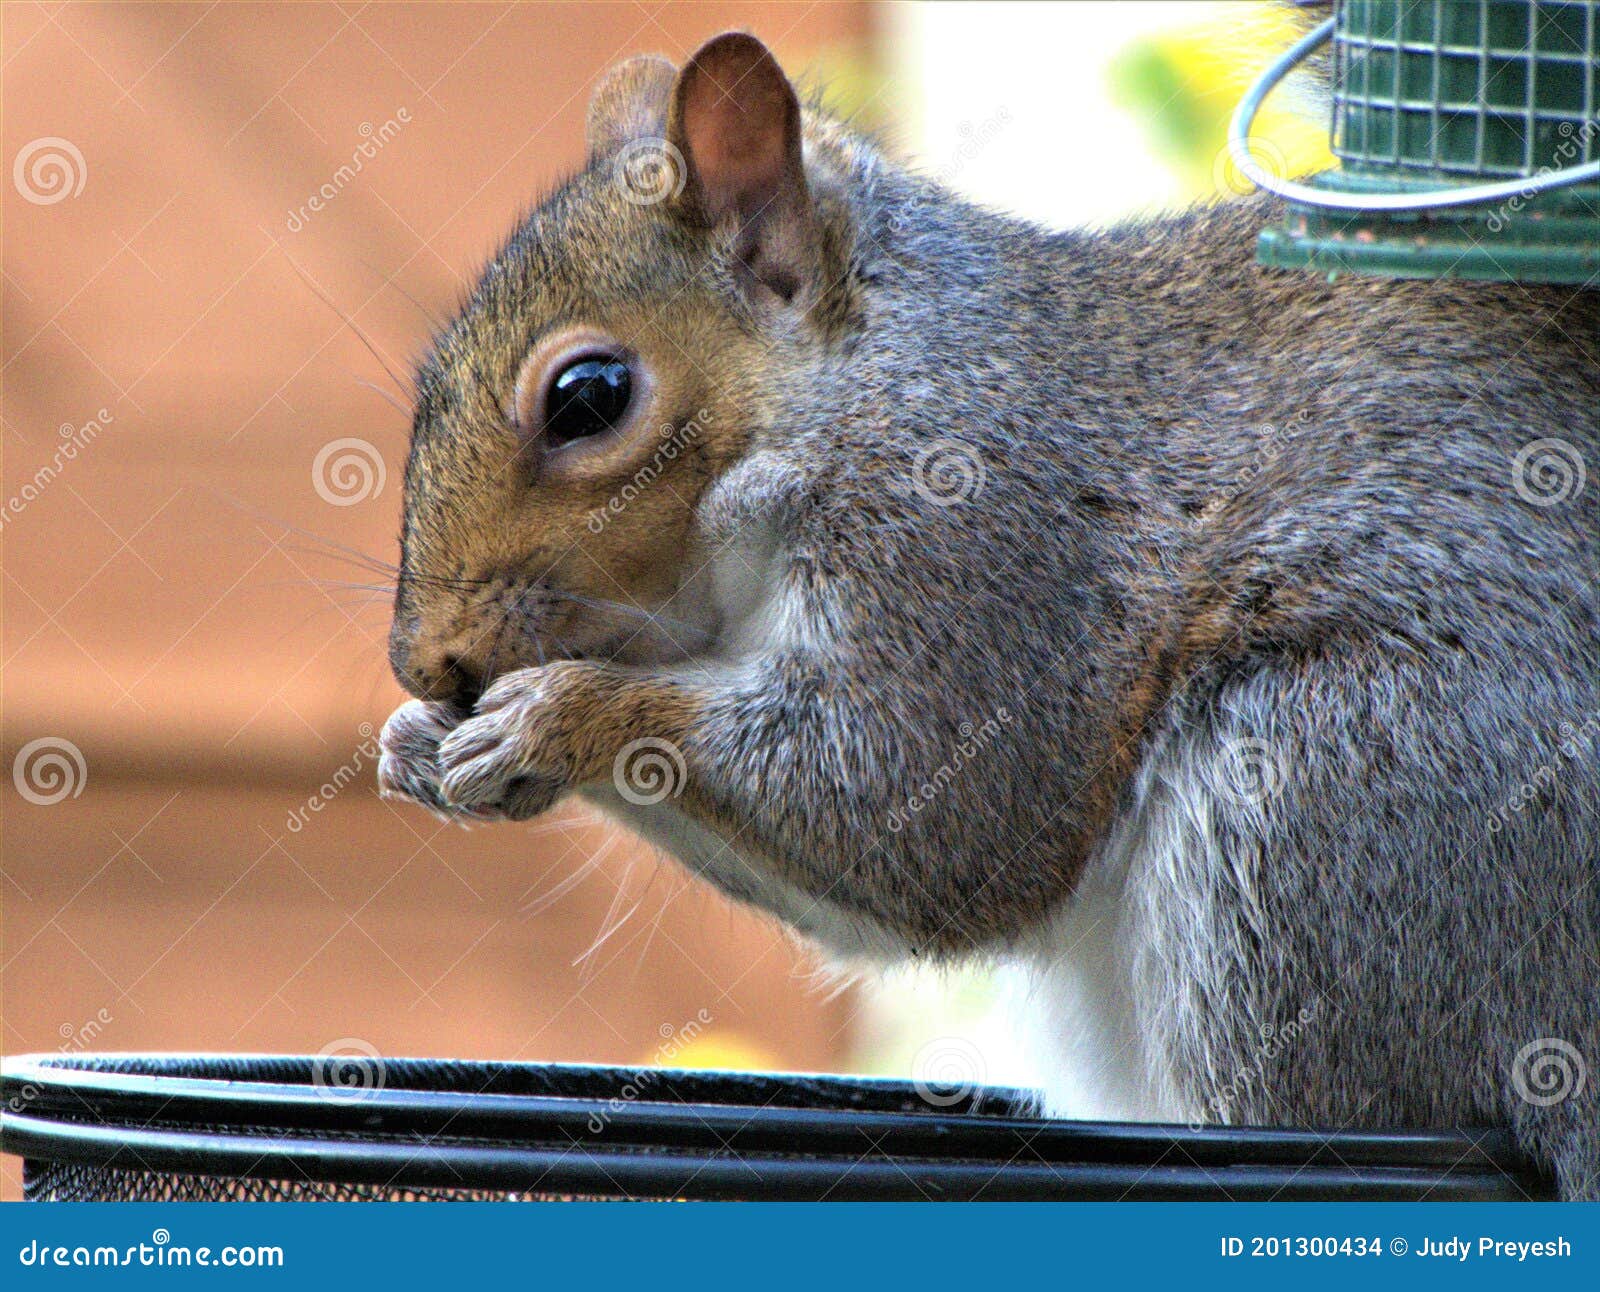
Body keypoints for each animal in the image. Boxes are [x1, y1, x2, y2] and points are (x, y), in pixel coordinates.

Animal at [377, 31, 1600, 1197]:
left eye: (589, 397)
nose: (426, 663)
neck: (863, 377)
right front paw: (414, 744)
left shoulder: (975, 534)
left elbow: (928, 810)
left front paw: (560, 716)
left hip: (1336, 786)